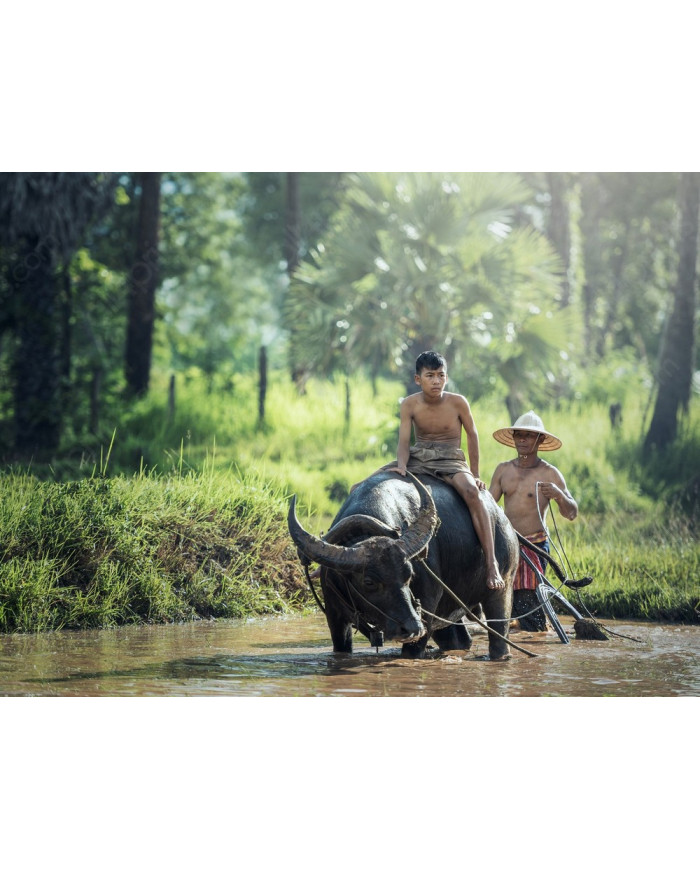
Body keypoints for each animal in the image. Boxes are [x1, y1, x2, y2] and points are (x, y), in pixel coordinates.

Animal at [288, 470, 520, 660]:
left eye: (409, 574)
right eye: (369, 582)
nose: (411, 628)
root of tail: (503, 519)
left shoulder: (426, 610)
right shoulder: (335, 616)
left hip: (503, 587)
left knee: (499, 632)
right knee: (458, 640)